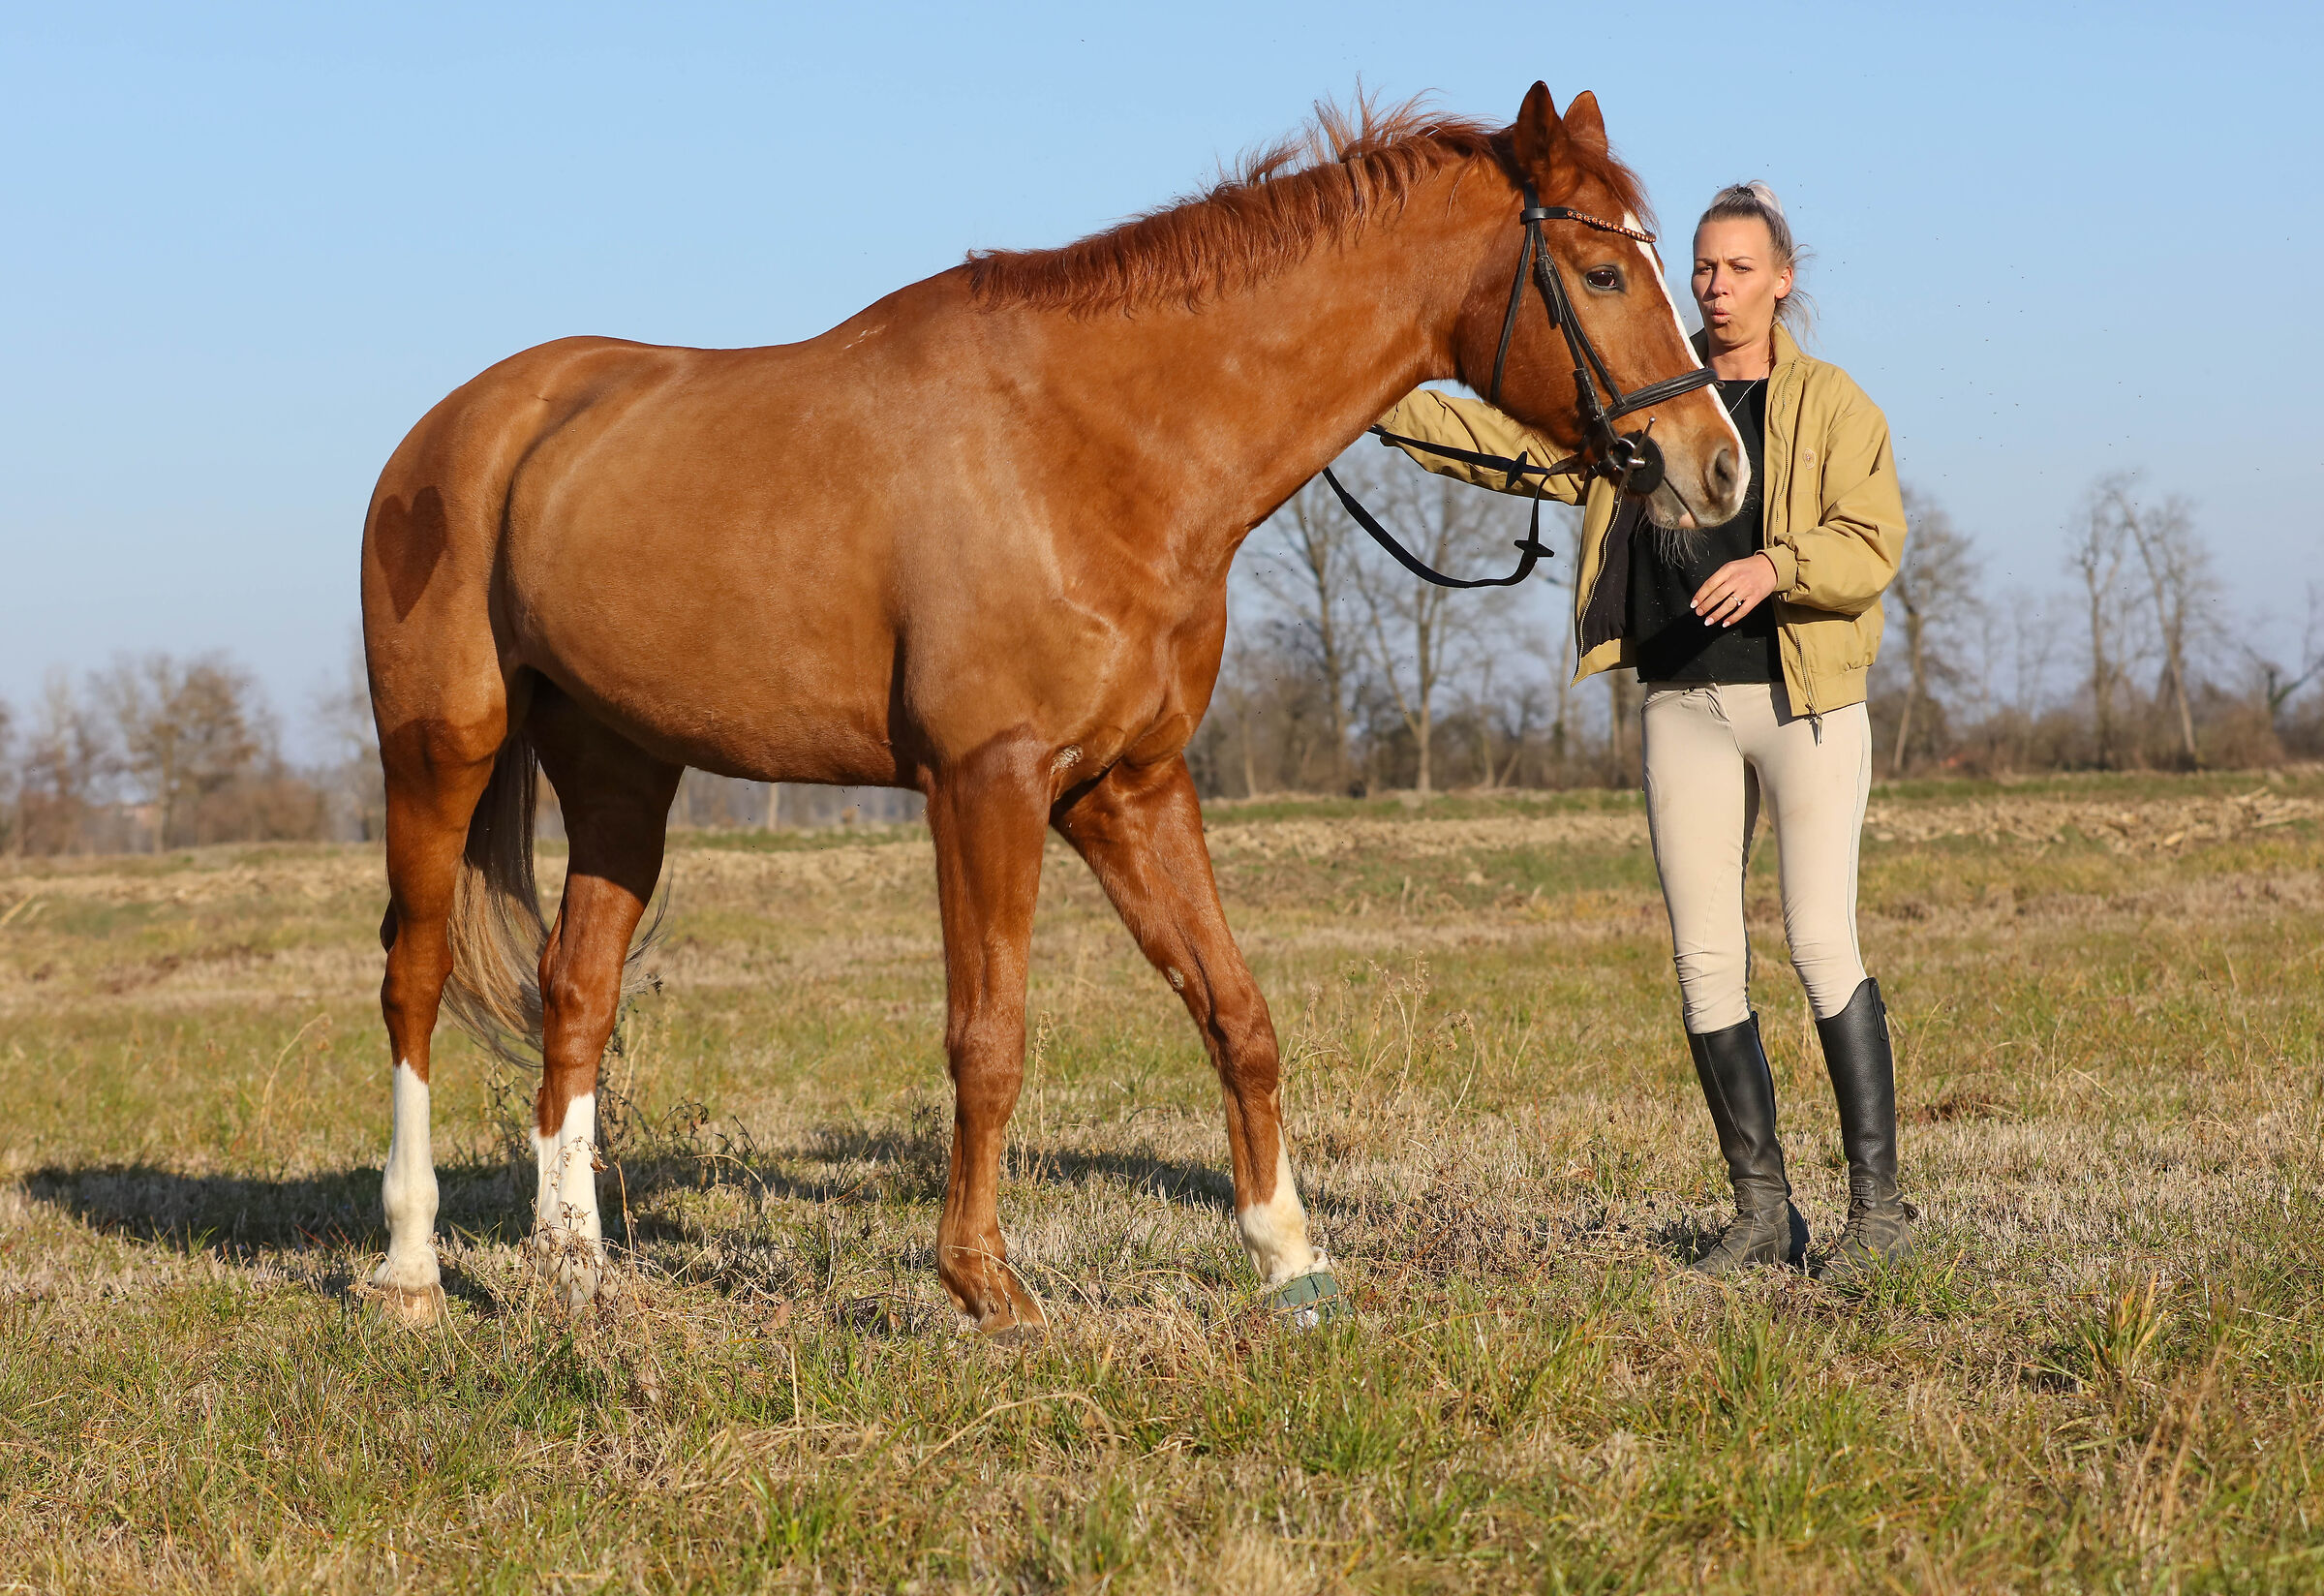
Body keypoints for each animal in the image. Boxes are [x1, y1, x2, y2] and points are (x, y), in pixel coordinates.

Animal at [359, 82, 1746, 1337]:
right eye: (1600, 272)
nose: (1717, 466)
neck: (1095, 445)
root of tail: (459, 429)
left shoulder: (1127, 785)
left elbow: (1237, 1014)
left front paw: (1290, 1258)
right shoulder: (990, 784)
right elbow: (990, 1037)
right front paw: (984, 1282)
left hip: (620, 773)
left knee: (575, 990)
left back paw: (575, 1267)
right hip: (440, 752)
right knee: (413, 981)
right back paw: (413, 1270)